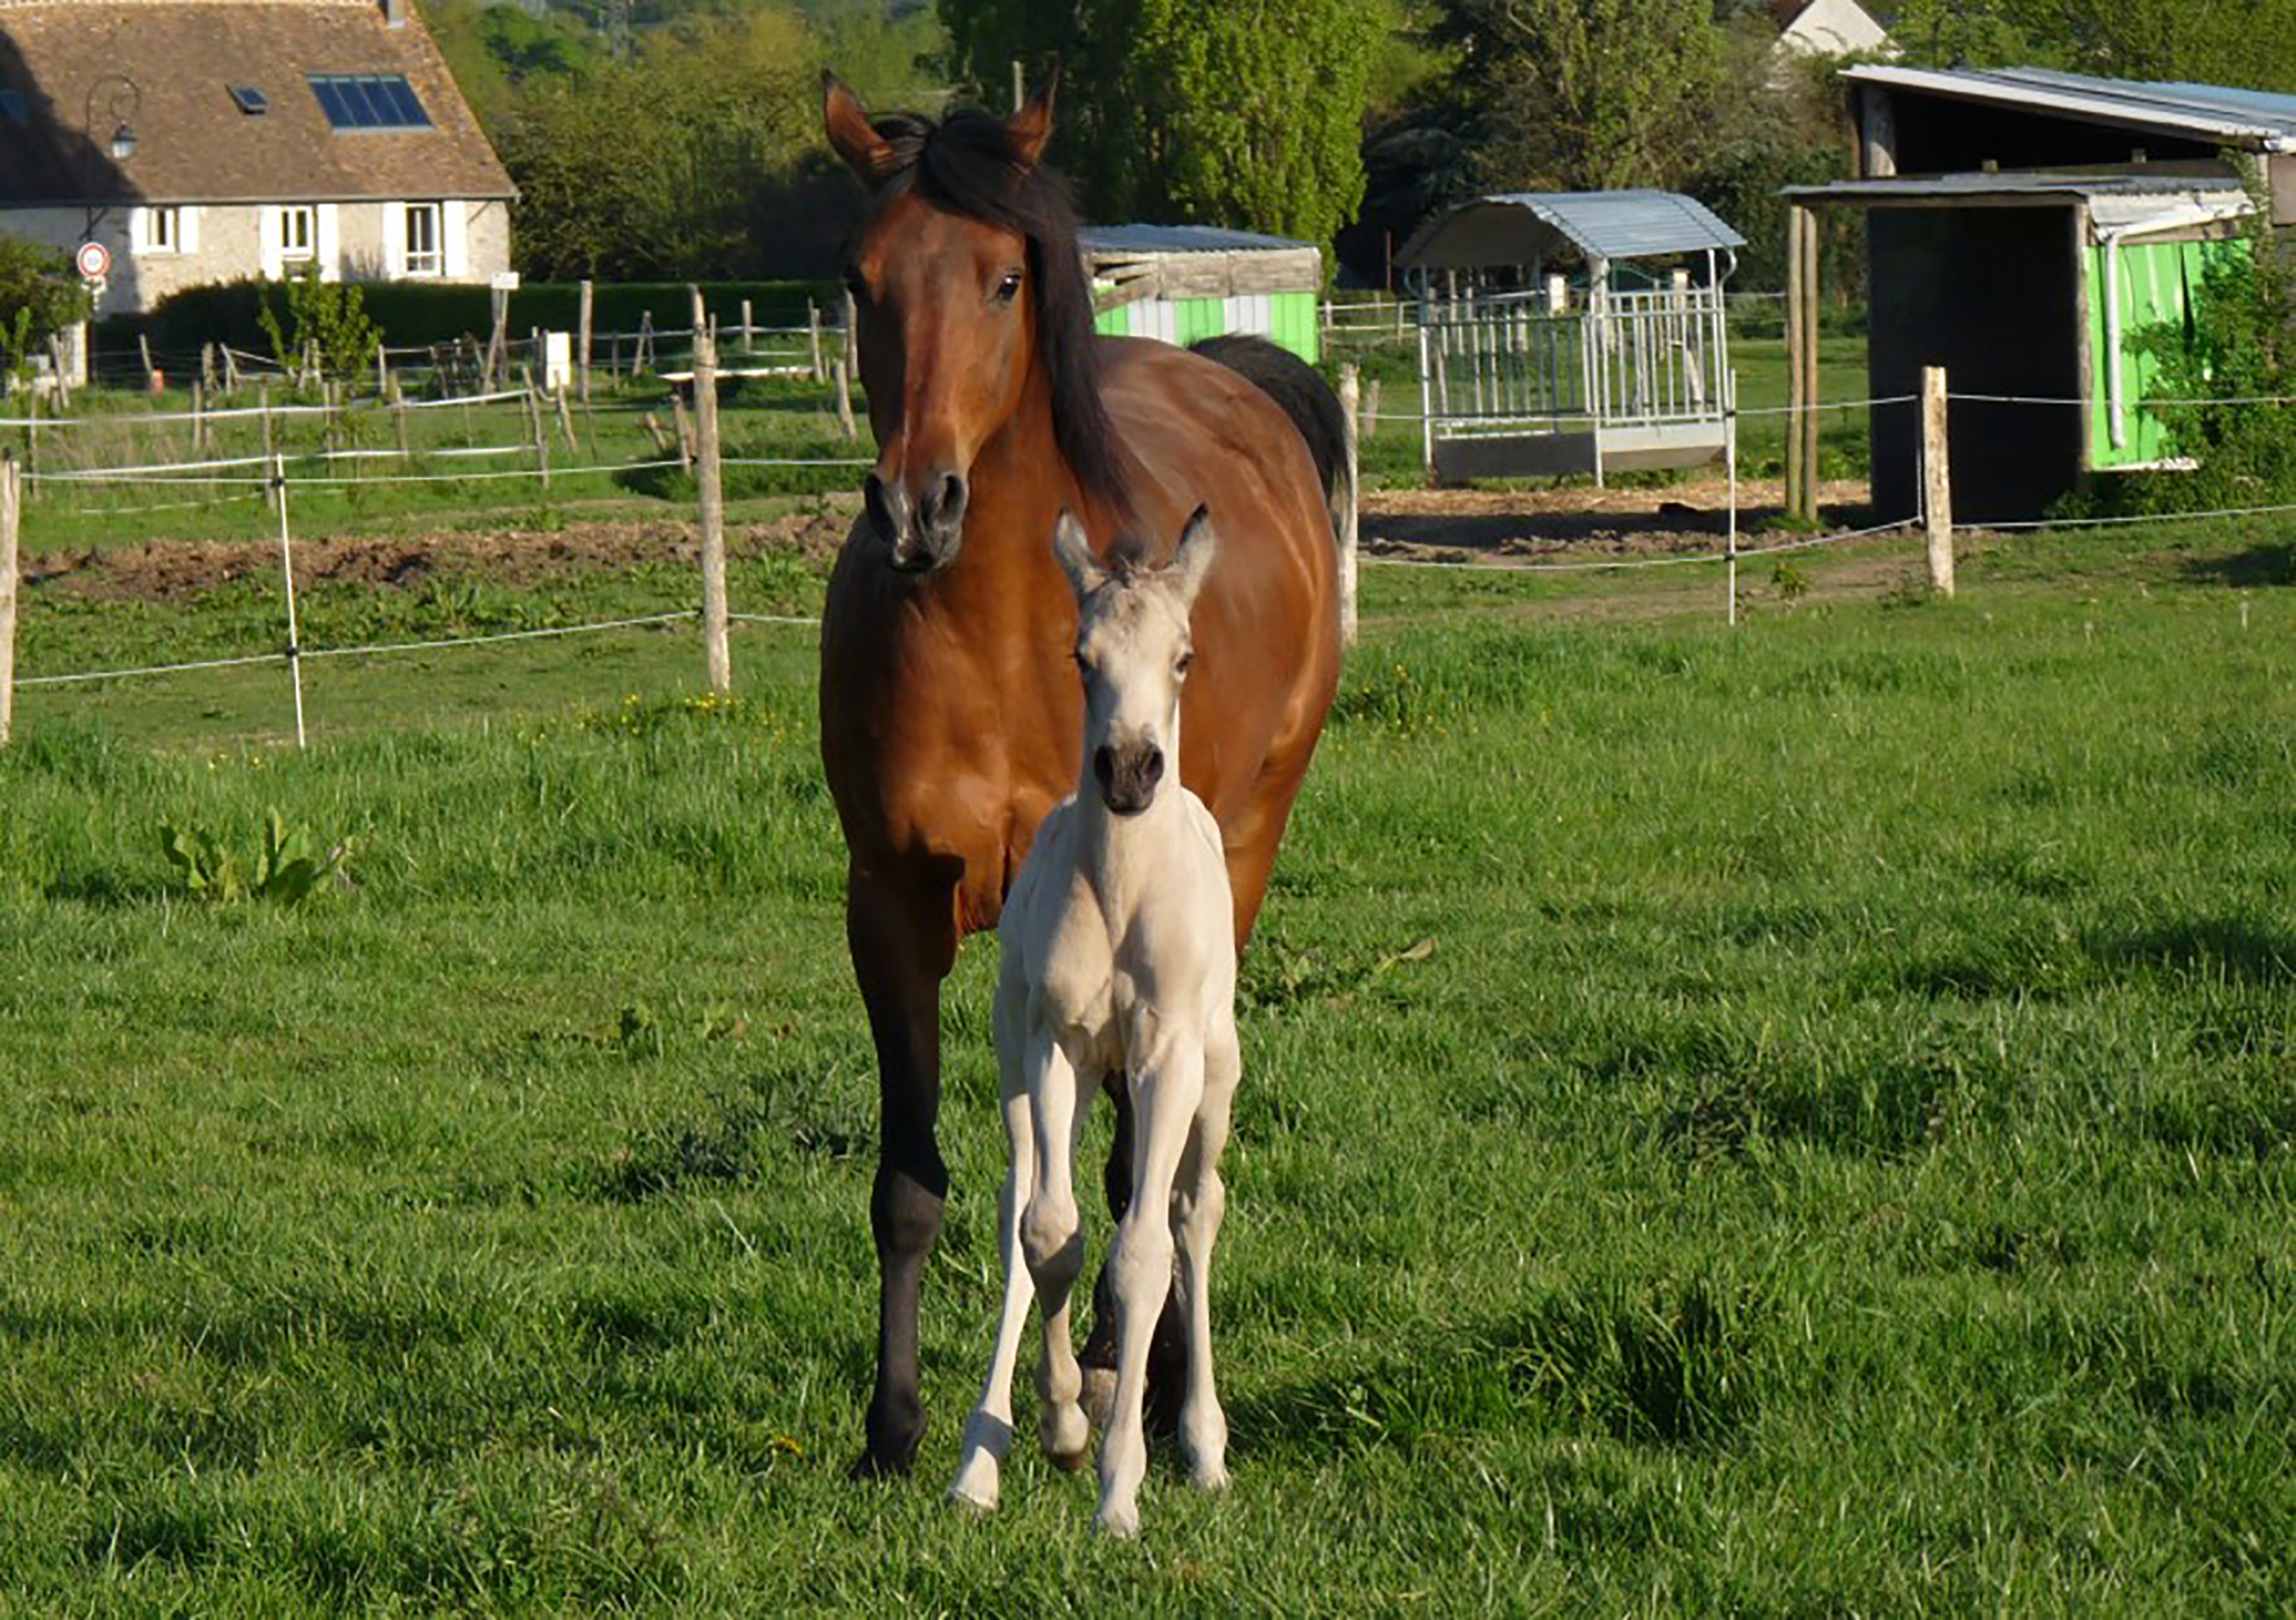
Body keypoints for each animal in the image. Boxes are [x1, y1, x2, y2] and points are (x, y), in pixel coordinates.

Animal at [946, 512, 1249, 1533]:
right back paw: (979, 1460)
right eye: (1081, 658)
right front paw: (1063, 1426)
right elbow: (1050, 1233)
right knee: (1021, 1202)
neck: (1121, 892)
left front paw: (1120, 1489)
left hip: (1215, 1079)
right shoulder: (1056, 1046)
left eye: (1185, 657)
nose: (1126, 770)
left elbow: (1144, 1249)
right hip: (1021, 1068)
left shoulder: (1165, 1057)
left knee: (1196, 1211)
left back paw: (1203, 1446)